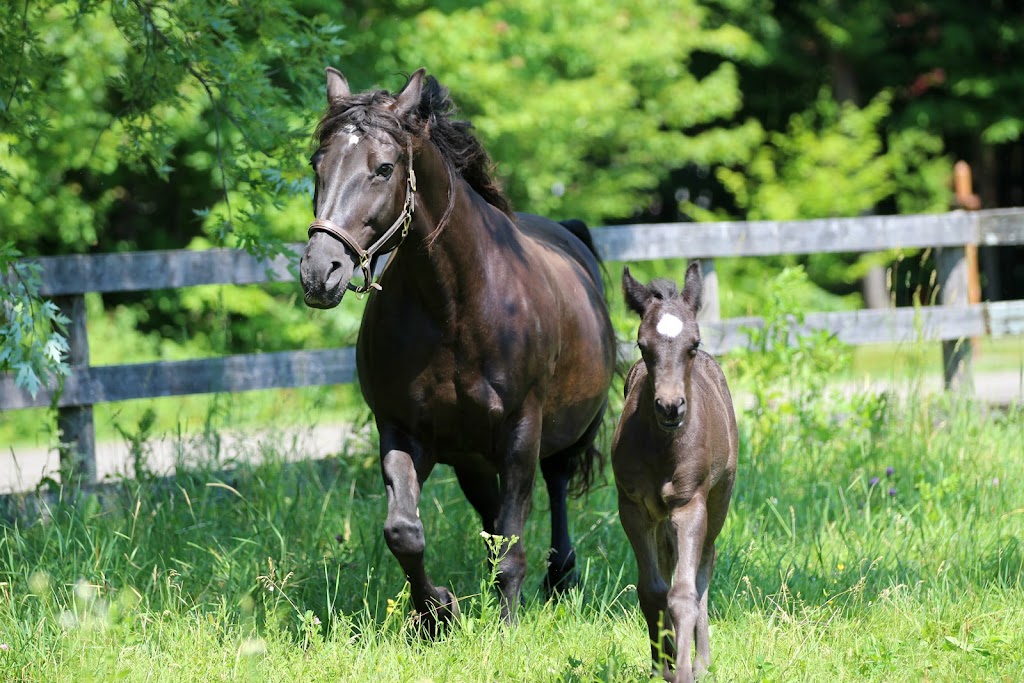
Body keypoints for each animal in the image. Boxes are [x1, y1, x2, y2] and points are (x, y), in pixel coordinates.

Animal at [299, 66, 614, 634]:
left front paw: (506, 629)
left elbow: (512, 539)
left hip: (564, 434)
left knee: (555, 490)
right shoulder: (404, 431)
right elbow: (404, 531)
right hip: (472, 459)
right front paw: (436, 613)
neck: (456, 306)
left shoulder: (520, 432)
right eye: (319, 163)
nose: (319, 272)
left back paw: (561, 580)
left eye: (384, 168)